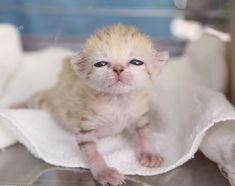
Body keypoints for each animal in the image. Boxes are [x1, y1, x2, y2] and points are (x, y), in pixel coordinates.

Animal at [16, 24, 168, 186]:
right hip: (47, 101)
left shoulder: (139, 116)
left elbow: (144, 133)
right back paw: (15, 105)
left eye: (136, 62)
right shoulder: (86, 128)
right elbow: (92, 152)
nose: (118, 69)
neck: (118, 100)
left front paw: (149, 153)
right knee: (35, 98)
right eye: (101, 64)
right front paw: (104, 172)